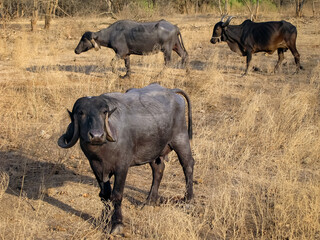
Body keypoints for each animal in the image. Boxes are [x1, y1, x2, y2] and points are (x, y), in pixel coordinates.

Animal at [57, 83, 195, 233]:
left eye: (103, 112)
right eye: (81, 113)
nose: (97, 136)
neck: (103, 149)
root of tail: (172, 91)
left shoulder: (122, 167)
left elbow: (117, 194)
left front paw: (117, 224)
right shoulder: (96, 166)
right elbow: (105, 194)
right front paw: (104, 220)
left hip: (181, 139)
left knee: (188, 166)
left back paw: (188, 201)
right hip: (154, 150)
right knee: (158, 169)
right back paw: (149, 201)